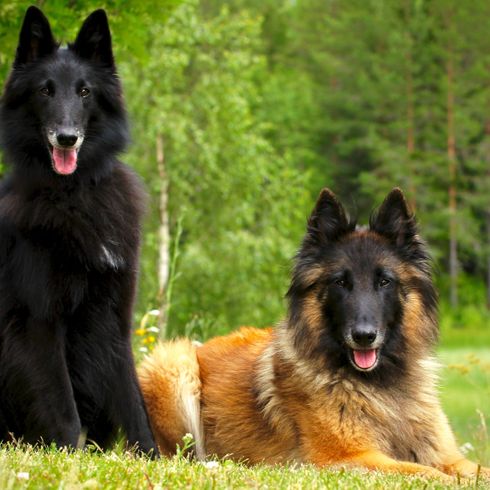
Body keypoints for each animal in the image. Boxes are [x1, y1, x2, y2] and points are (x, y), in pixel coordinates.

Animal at [0, 5, 158, 456]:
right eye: (45, 91)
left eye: (85, 92)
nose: (67, 138)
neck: (77, 195)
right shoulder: (39, 323)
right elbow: (62, 406)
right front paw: (69, 459)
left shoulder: (115, 318)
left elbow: (135, 405)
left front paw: (153, 459)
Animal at [139, 189, 490, 478]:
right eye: (341, 282)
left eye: (384, 281)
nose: (364, 336)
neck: (380, 384)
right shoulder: (346, 456)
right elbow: (426, 473)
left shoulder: (448, 457)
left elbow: (473, 470)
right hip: (174, 361)